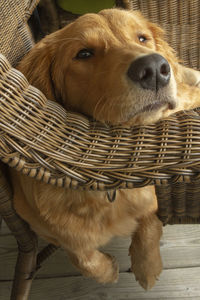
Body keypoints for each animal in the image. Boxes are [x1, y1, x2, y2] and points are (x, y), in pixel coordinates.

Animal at [9, 8, 200, 290]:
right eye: (84, 54)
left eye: (142, 38)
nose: (155, 68)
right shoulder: (37, 222)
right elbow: (80, 252)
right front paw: (108, 271)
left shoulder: (148, 200)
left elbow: (150, 225)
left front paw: (148, 268)